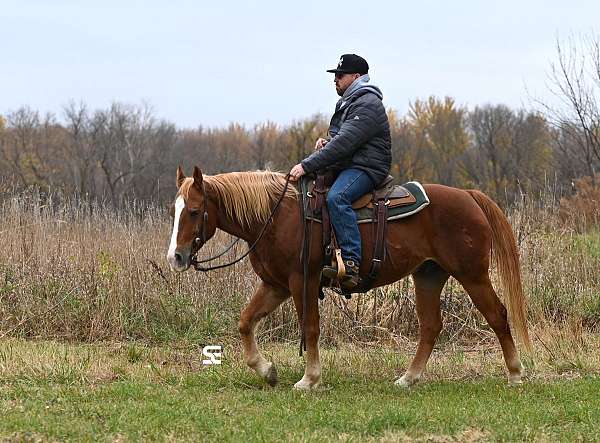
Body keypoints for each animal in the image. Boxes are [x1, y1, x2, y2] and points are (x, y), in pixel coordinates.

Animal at [166, 167, 532, 392]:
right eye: (174, 210)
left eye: (195, 211)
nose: (176, 257)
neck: (275, 216)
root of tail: (469, 195)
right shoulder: (276, 285)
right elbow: (245, 321)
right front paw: (267, 371)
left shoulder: (302, 281)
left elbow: (309, 328)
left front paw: (309, 379)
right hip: (428, 276)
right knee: (430, 326)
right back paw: (408, 378)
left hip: (473, 275)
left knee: (498, 315)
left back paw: (515, 374)